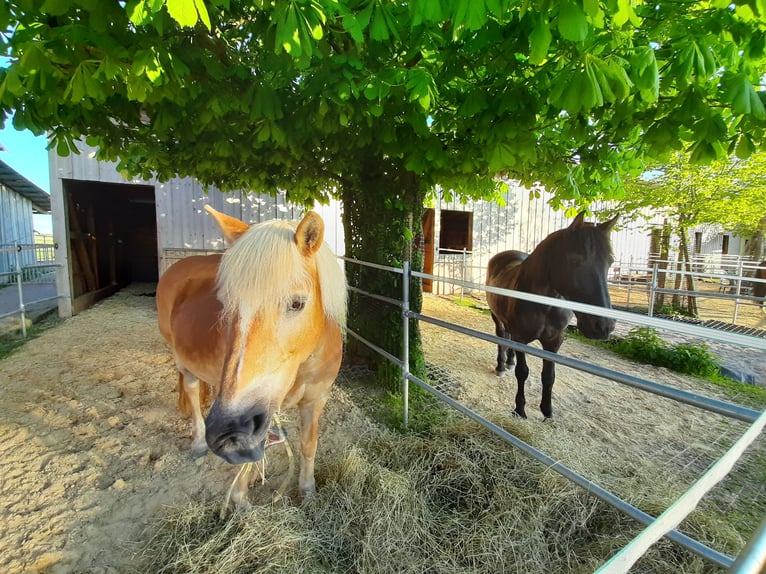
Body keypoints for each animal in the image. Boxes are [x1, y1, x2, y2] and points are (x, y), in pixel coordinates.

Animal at [157, 207, 348, 500]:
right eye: (226, 303)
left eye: (297, 303)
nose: (226, 428)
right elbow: (245, 459)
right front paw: (239, 499)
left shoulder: (316, 400)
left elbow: (308, 444)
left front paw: (307, 490)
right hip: (181, 361)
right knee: (190, 390)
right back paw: (198, 442)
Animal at [488, 214, 620, 420]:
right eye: (574, 260)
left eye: (610, 261)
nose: (603, 326)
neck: (545, 304)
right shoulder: (521, 339)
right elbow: (522, 372)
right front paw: (520, 409)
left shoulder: (554, 340)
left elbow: (549, 376)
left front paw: (547, 410)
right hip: (497, 318)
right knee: (502, 338)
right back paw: (502, 366)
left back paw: (509, 362)